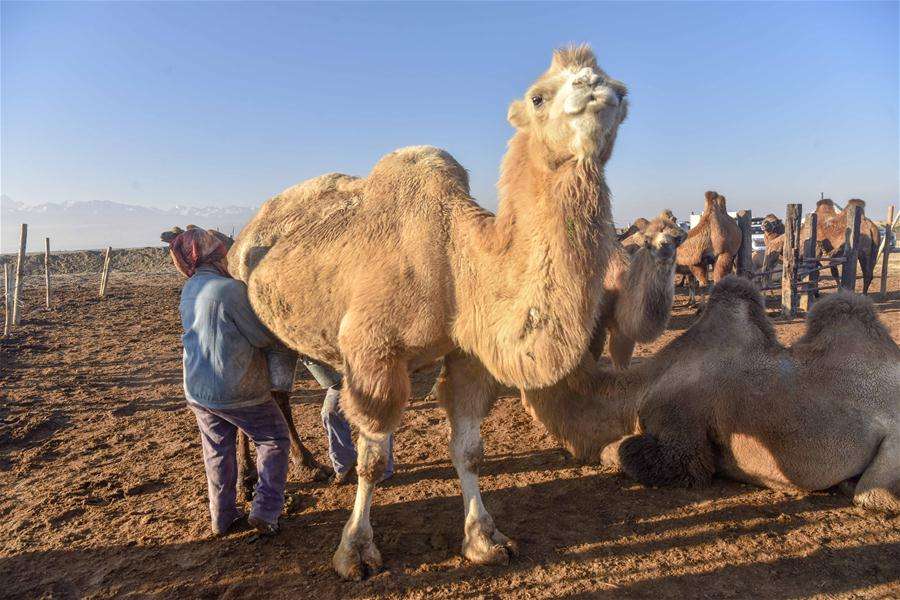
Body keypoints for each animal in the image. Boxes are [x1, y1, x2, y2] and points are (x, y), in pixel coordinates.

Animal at [229, 44, 628, 580]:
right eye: (538, 96)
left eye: (621, 91)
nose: (597, 89)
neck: (457, 260)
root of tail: (245, 234)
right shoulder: (373, 350)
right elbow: (371, 459)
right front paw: (355, 551)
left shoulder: (469, 353)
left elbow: (470, 451)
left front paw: (485, 540)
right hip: (249, 313)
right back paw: (256, 482)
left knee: (279, 393)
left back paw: (307, 465)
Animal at [588, 213, 684, 368]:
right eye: (647, 242)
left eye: (677, 240)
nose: (664, 248)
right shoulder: (596, 324)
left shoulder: (623, 331)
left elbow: (622, 360)